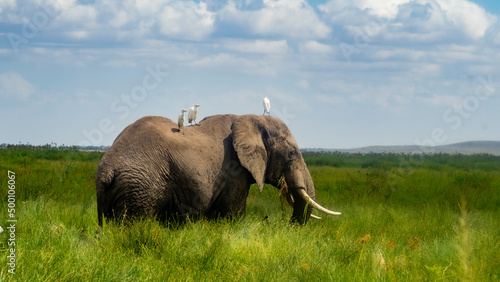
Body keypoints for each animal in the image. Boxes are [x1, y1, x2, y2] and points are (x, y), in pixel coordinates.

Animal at [94, 113, 340, 226]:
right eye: (291, 154)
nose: (280, 223)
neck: (251, 118)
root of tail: (108, 167)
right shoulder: (234, 171)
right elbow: (233, 215)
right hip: (140, 188)